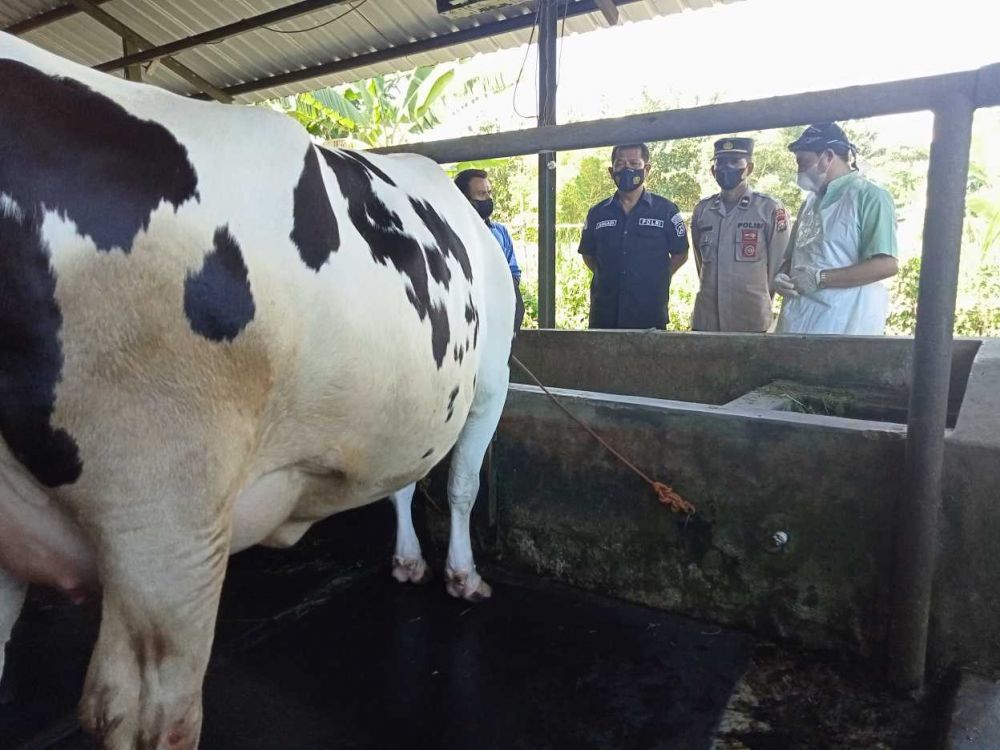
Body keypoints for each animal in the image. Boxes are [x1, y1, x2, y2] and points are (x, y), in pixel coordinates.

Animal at [0, 32, 512, 750]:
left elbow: (405, 482)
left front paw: (412, 561)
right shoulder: (492, 380)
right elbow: (461, 483)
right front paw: (463, 576)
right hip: (166, 514)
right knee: (151, 712)